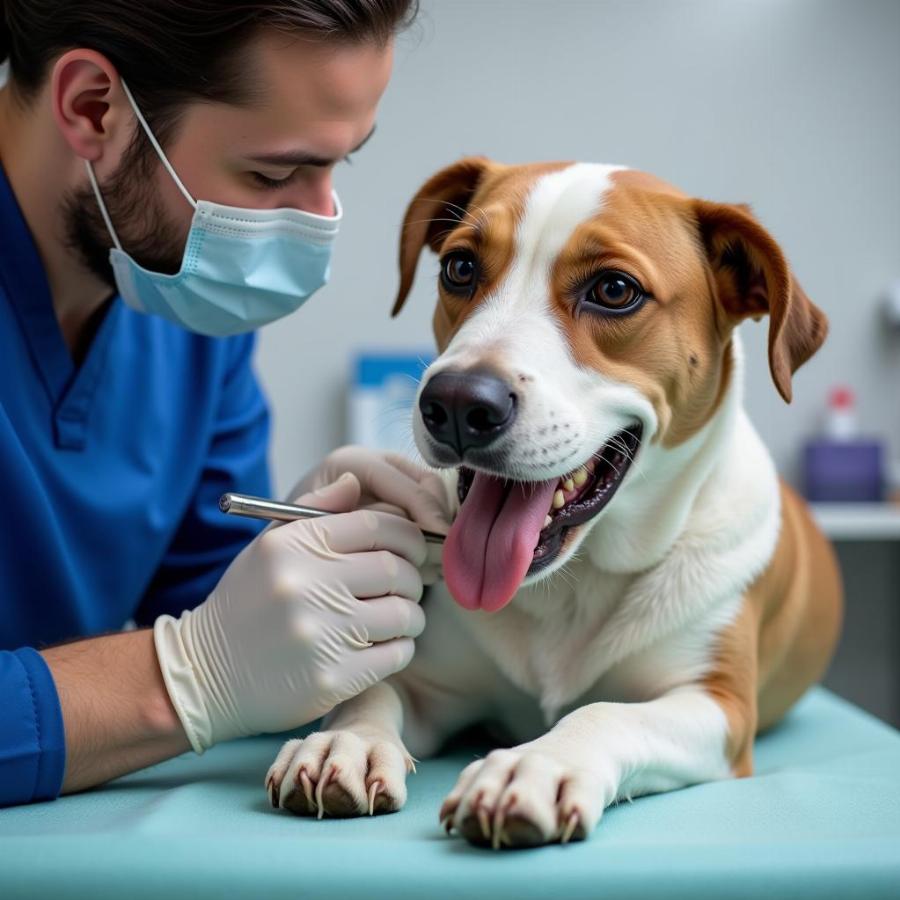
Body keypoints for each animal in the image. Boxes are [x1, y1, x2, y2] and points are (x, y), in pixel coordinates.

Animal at [264, 158, 840, 848]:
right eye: (459, 267)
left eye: (614, 290)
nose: (456, 403)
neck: (576, 582)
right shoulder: (433, 684)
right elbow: (374, 692)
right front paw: (344, 742)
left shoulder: (717, 706)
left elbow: (606, 713)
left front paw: (536, 766)